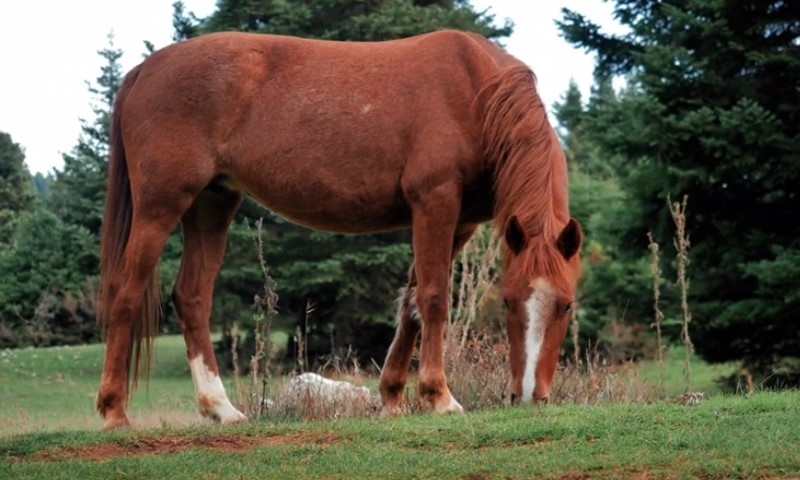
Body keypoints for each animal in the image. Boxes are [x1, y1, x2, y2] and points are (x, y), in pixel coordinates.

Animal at [95, 29, 583, 429]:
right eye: (508, 302)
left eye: (566, 306)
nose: (529, 397)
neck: (476, 91)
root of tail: (144, 70)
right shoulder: (435, 203)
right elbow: (433, 298)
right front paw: (439, 397)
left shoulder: (459, 221)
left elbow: (410, 303)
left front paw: (392, 397)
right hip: (161, 206)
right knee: (126, 291)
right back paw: (115, 412)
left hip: (212, 204)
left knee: (192, 297)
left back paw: (221, 408)